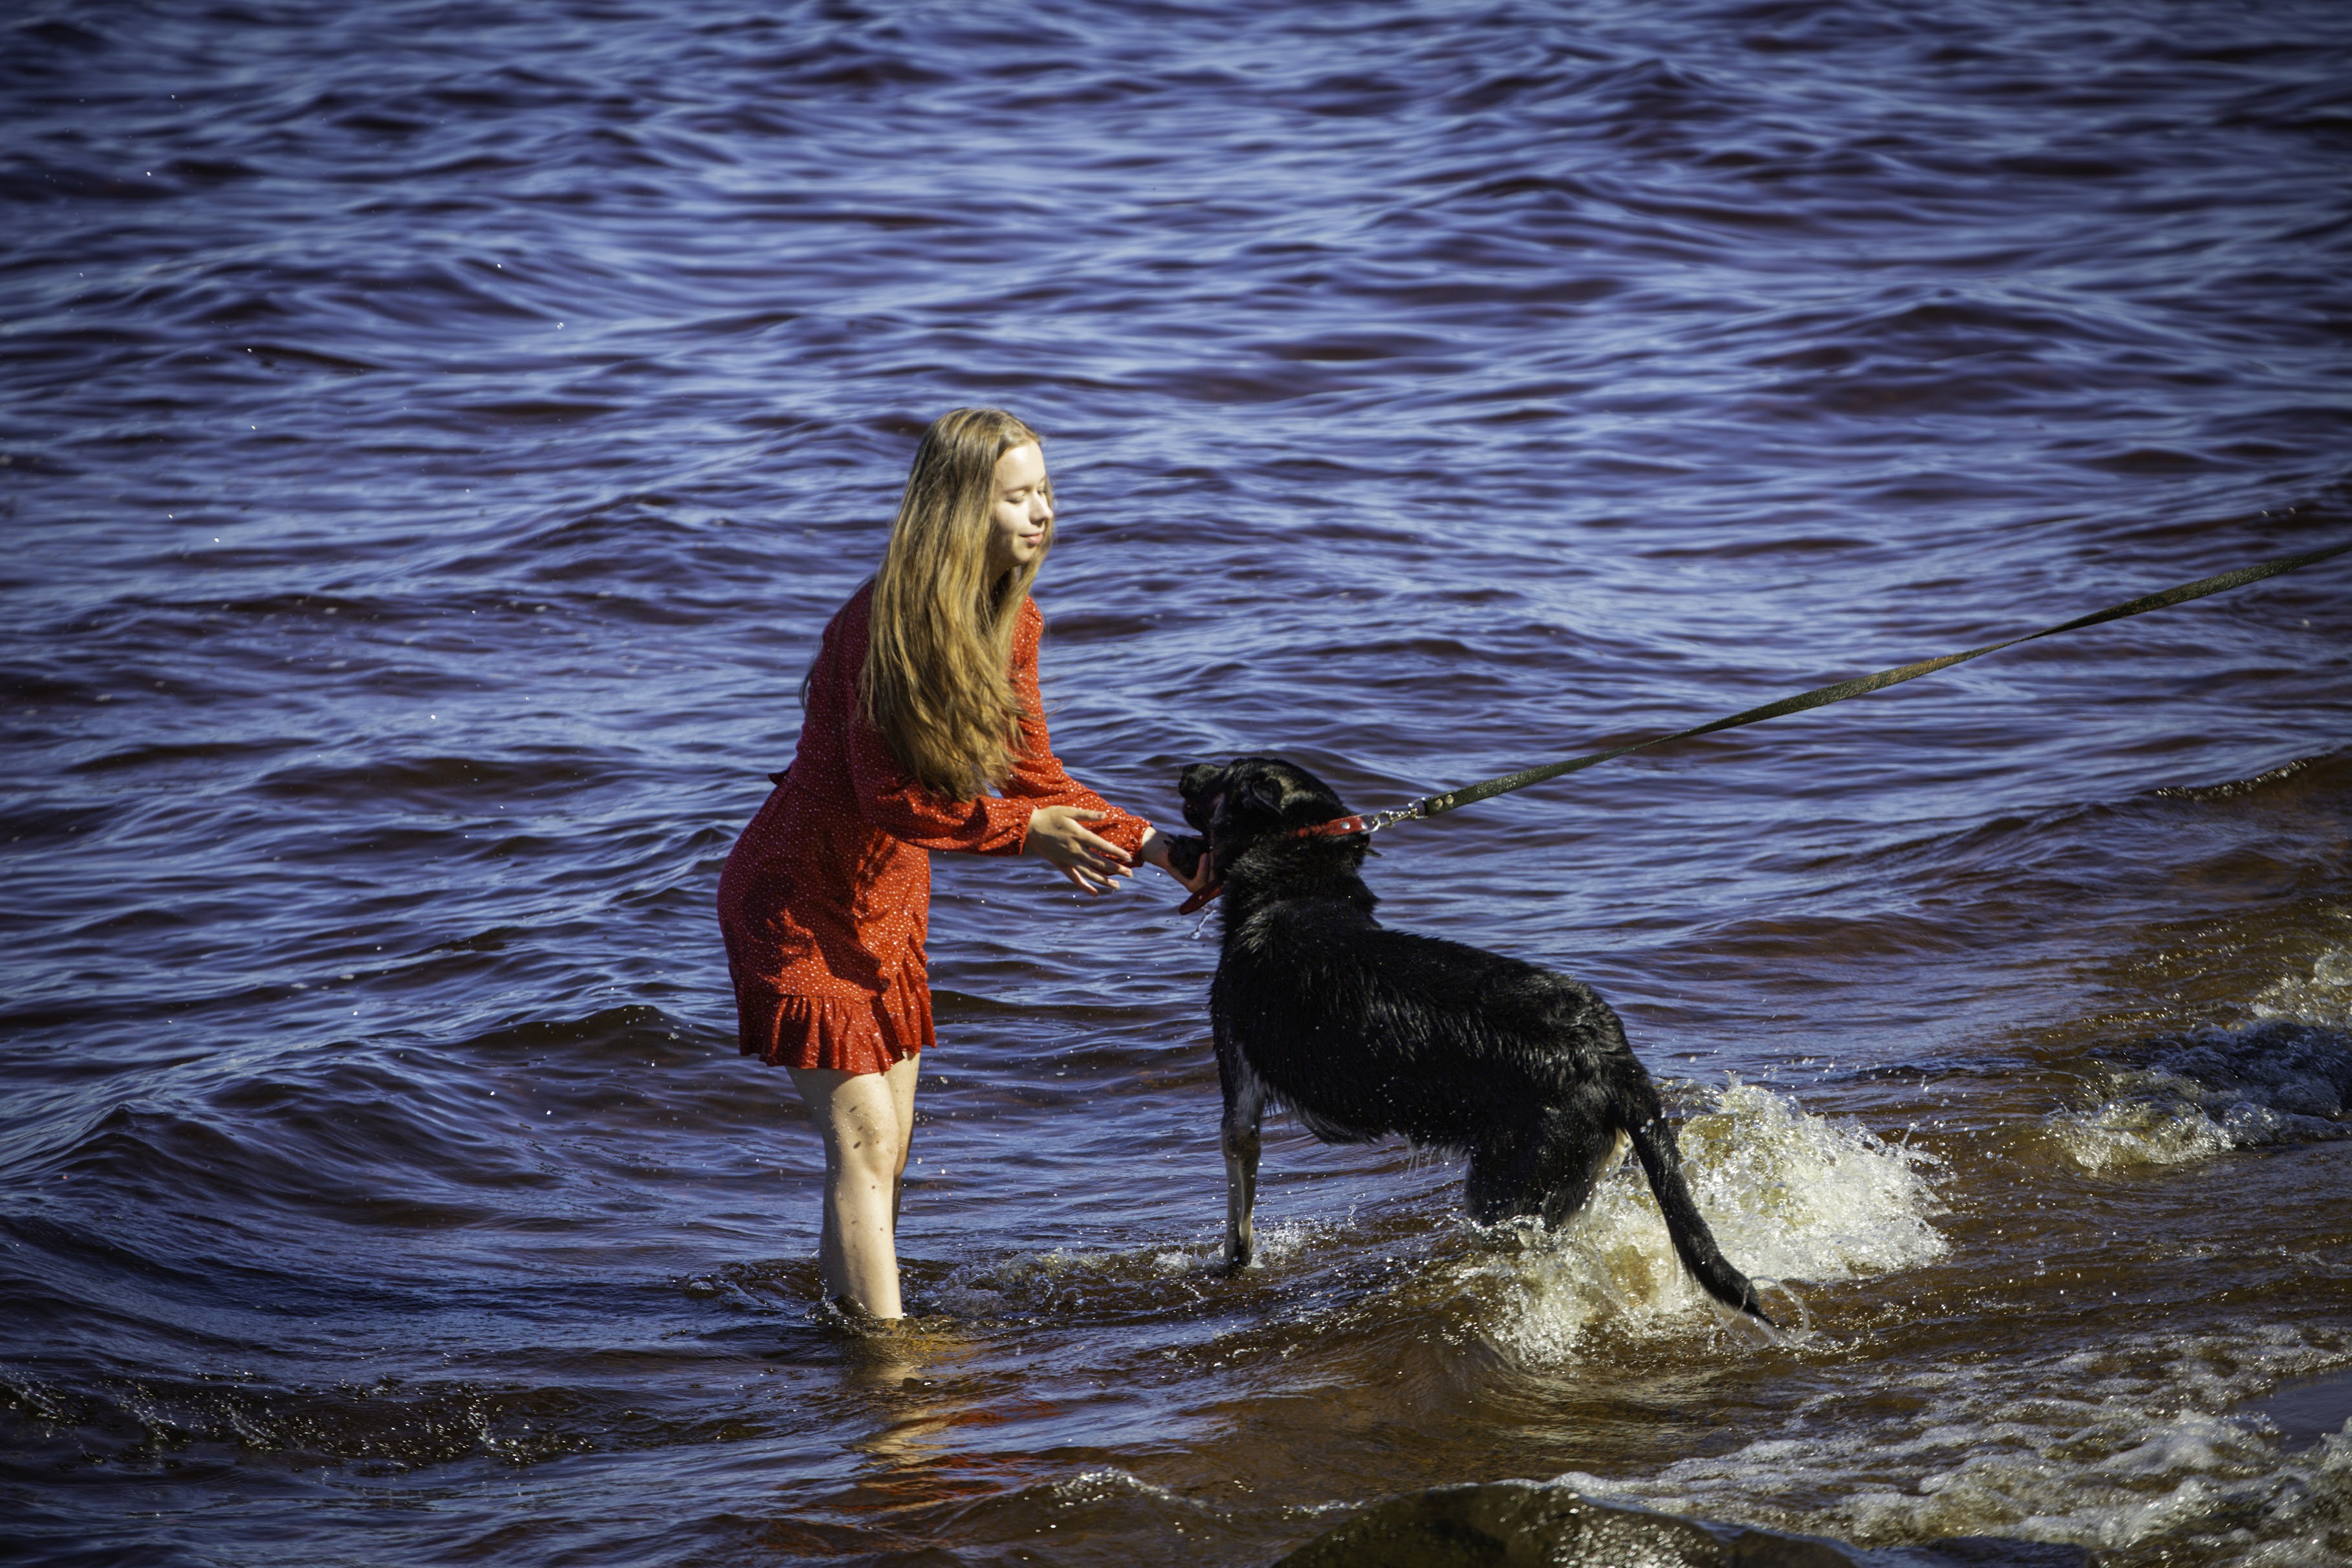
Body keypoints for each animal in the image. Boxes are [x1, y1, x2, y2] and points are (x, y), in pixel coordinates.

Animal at [1166, 761, 1769, 1325]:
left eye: (1225, 775)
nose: (1181, 771)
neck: (1297, 881)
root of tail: (1610, 1055)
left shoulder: (1238, 1093)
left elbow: (1239, 1213)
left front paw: (1228, 1269)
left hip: (1504, 1192)